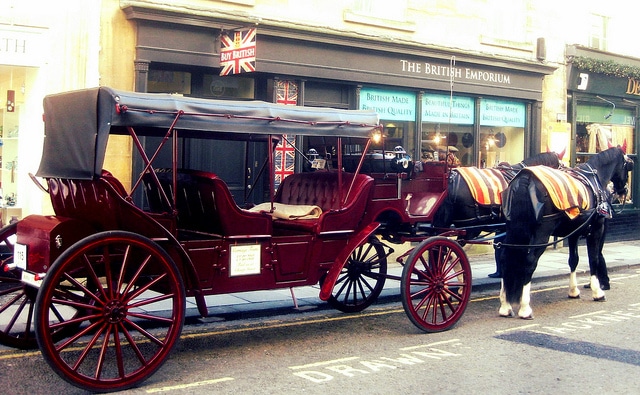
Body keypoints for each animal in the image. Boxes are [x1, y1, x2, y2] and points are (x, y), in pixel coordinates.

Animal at [500, 147, 632, 320]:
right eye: (628, 166)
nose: (624, 191)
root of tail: (526, 179)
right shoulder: (596, 228)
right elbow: (594, 259)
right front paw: (597, 291)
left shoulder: (574, 232)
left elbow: (573, 260)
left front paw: (573, 291)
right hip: (542, 232)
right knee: (529, 262)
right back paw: (525, 308)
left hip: (514, 229)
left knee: (505, 259)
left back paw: (505, 306)